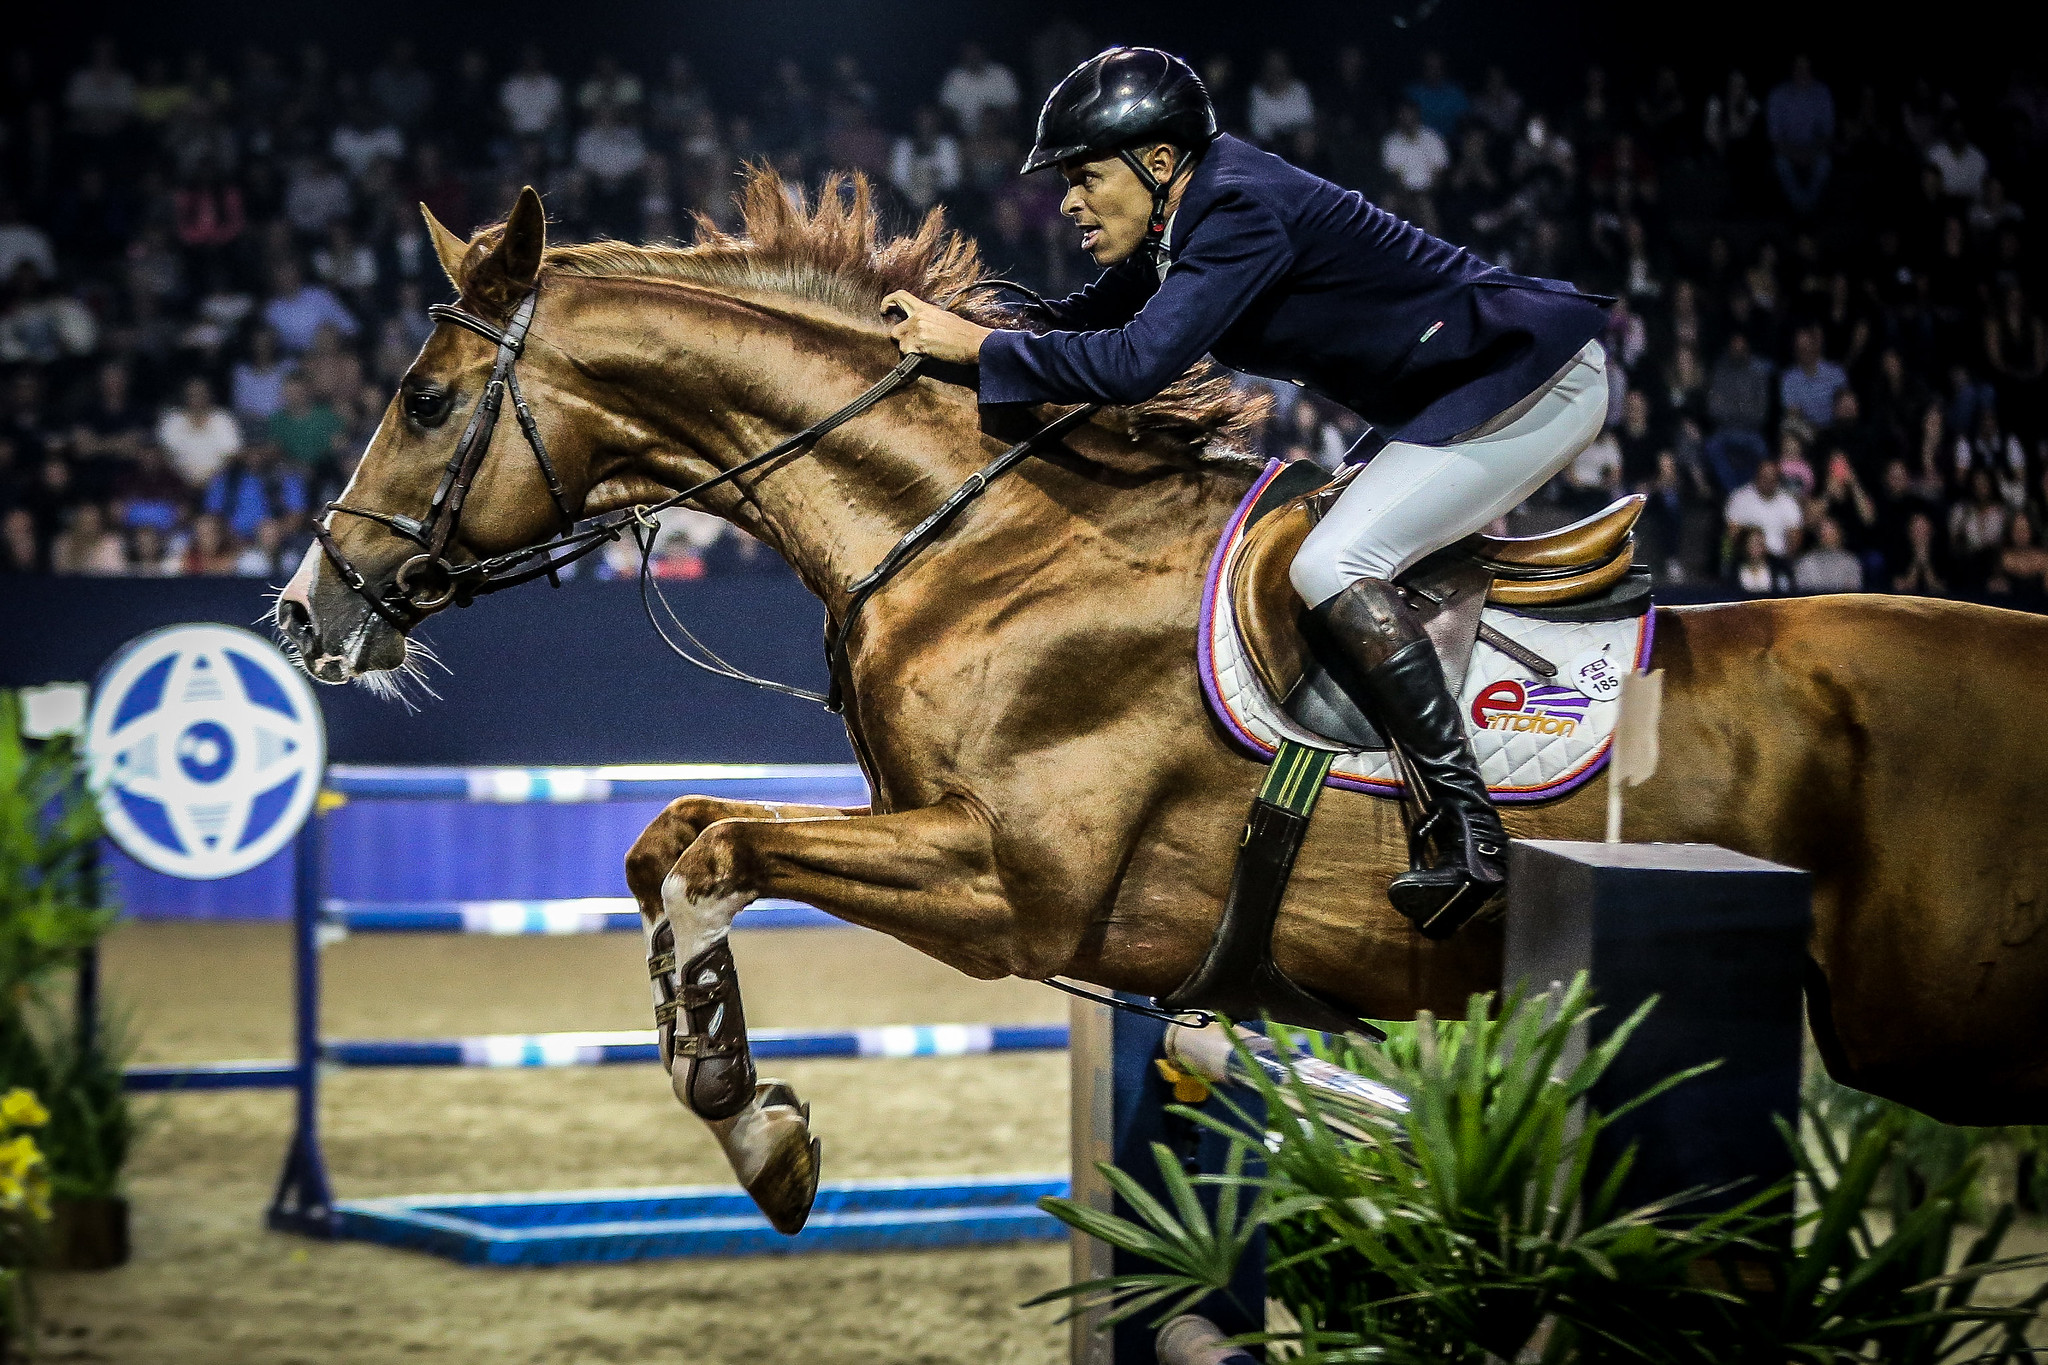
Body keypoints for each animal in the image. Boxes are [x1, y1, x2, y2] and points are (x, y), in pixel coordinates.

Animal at [276, 173, 2048, 1236]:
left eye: (427, 398)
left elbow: (714, 849)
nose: (306, 614)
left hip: (1929, 1018)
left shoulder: (1010, 885)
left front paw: (749, 1119)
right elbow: (673, 837)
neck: (982, 535)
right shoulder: (940, 838)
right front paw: (740, 1102)